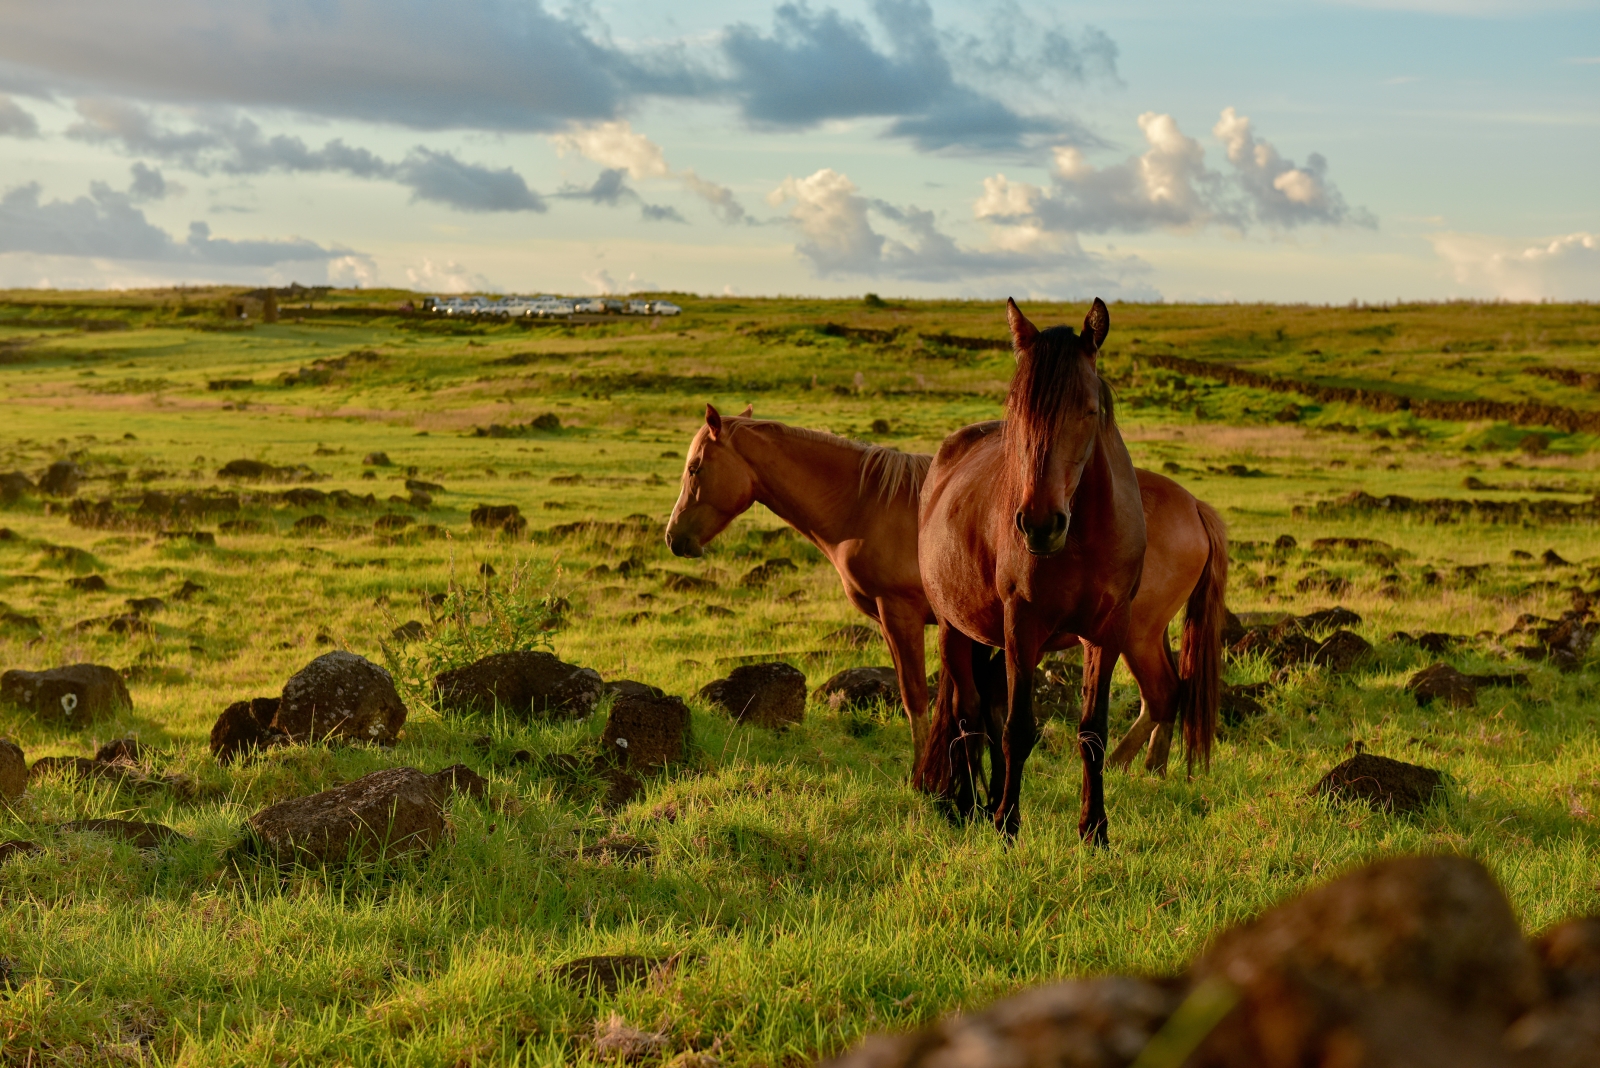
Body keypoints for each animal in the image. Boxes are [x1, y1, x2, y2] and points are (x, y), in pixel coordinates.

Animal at [663, 403, 1225, 780]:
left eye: (695, 468)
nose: (673, 538)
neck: (865, 504)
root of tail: (1194, 505)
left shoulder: (901, 615)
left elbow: (916, 697)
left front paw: (920, 776)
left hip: (1132, 632)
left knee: (1163, 693)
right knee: (1167, 695)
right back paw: (1149, 769)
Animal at [917, 298, 1219, 842]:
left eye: (1089, 410)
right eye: (1017, 410)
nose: (1040, 524)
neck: (1083, 535)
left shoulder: (1107, 630)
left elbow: (1091, 731)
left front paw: (1094, 828)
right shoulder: (1022, 625)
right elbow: (1017, 728)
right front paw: (1007, 824)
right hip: (956, 627)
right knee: (968, 713)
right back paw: (971, 804)